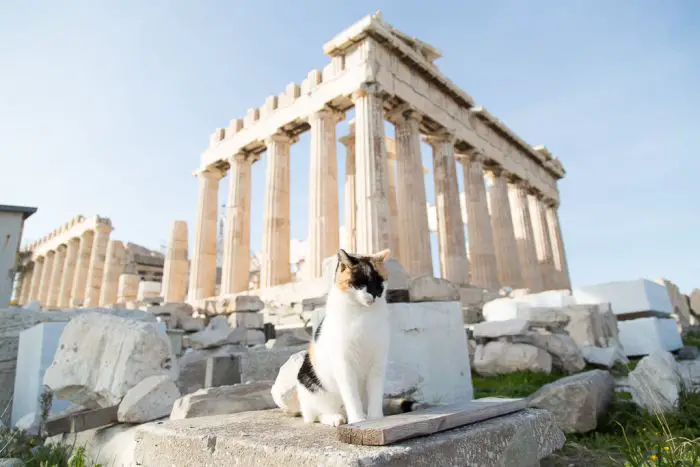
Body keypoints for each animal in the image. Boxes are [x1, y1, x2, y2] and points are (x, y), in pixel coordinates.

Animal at [294, 249, 394, 428]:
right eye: (359, 283)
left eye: (379, 283)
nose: (374, 294)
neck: (363, 316)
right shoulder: (344, 364)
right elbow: (351, 396)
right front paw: (358, 420)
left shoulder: (377, 362)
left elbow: (375, 394)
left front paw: (375, 418)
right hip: (310, 384)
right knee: (317, 415)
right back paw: (336, 418)